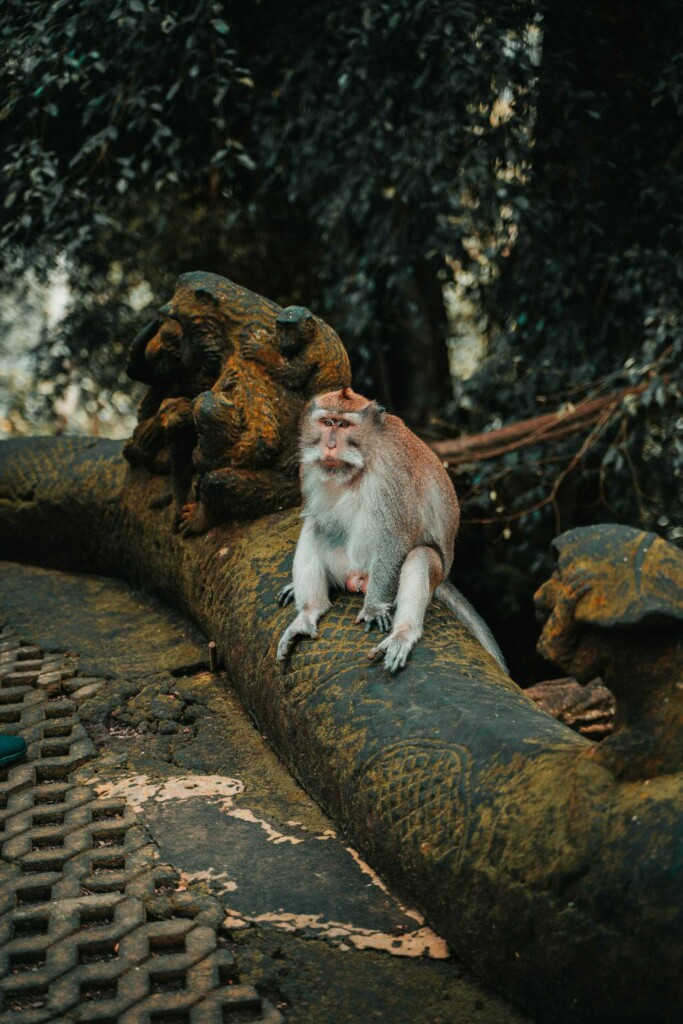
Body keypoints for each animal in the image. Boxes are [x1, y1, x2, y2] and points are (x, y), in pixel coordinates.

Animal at [276, 387, 507, 673]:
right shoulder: (308, 469)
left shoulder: (392, 469)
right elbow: (317, 518)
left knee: (420, 556)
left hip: (405, 575)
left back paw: (403, 633)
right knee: (314, 527)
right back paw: (309, 612)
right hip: (344, 566)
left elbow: (395, 536)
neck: (359, 462)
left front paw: (374, 608)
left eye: (344, 425)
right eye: (327, 423)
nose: (329, 445)